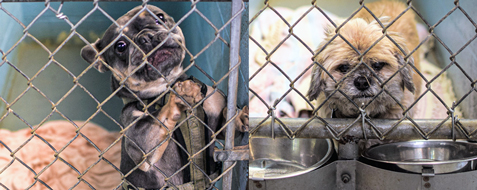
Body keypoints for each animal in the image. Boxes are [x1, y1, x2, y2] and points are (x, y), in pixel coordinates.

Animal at [80, 5, 247, 189]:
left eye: (159, 18)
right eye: (120, 46)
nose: (145, 37)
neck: (163, 87)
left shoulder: (218, 118)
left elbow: (226, 119)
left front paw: (241, 116)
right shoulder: (142, 142)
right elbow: (161, 117)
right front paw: (180, 95)